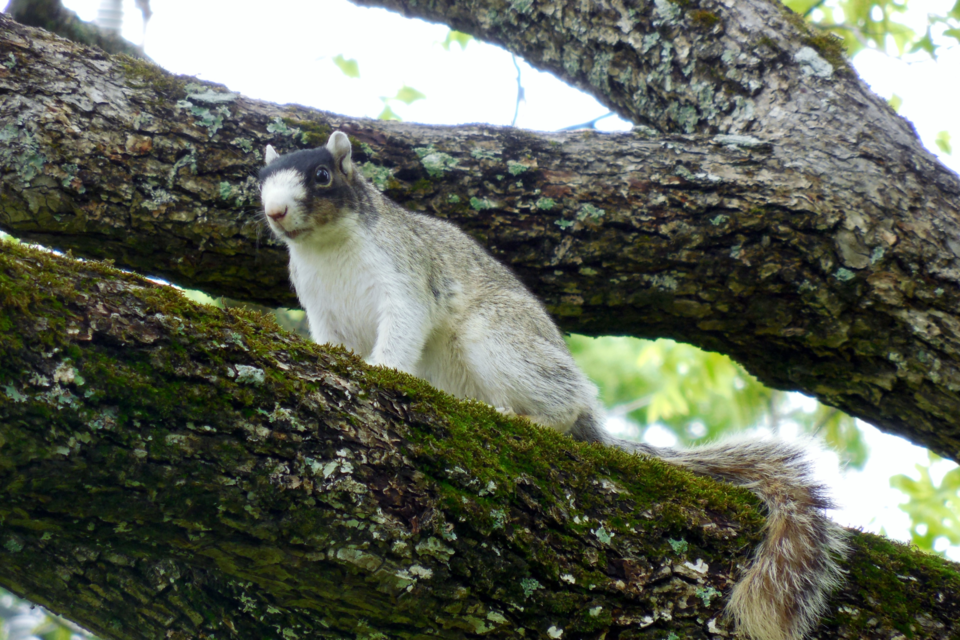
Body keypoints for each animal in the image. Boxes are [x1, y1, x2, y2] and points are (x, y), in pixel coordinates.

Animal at [256, 130, 848, 640]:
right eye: (259, 179)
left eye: (322, 175)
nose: (275, 212)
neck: (326, 249)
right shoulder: (322, 310)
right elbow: (331, 341)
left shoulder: (404, 278)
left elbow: (402, 328)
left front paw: (382, 370)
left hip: (497, 339)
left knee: (562, 408)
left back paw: (531, 417)